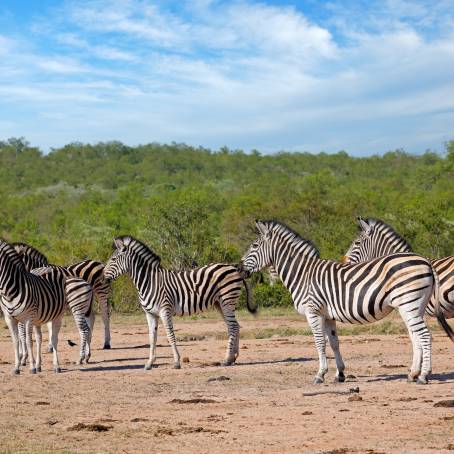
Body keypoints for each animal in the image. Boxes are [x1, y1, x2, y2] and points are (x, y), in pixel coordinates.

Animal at [0, 239, 93, 374]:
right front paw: (18, 366)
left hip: (76, 309)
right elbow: (17, 341)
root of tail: (86, 282)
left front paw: (29, 364)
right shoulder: (10, 318)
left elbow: (27, 339)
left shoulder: (28, 318)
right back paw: (86, 357)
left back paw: (77, 359)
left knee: (81, 331)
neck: (12, 289)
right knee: (87, 330)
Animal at [104, 236, 258, 370]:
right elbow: (152, 337)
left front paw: (177, 362)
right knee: (235, 326)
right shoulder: (150, 314)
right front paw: (149, 363)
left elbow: (170, 335)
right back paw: (233, 358)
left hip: (227, 300)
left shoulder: (164, 310)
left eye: (113, 259)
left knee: (232, 326)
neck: (149, 282)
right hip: (219, 303)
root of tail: (234, 268)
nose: (103, 276)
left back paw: (226, 359)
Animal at [239, 220, 442, 384]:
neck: (303, 274)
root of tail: (425, 261)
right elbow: (334, 343)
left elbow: (319, 342)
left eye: (254, 245)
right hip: (412, 306)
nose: (239, 268)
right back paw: (413, 374)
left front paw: (320, 374)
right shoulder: (328, 315)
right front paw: (340, 374)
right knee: (416, 336)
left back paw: (423, 376)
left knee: (425, 335)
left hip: (409, 304)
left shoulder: (313, 311)